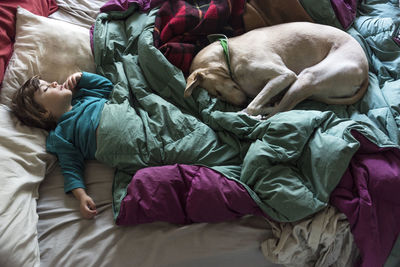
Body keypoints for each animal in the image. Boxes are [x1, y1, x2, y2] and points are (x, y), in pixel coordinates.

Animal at [184, 22, 368, 119]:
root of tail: (365, 71)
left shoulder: (285, 75)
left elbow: (252, 106)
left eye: (217, 92)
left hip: (306, 78)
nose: (241, 102)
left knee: (279, 110)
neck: (230, 54)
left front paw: (245, 111)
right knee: (280, 108)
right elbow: (255, 104)